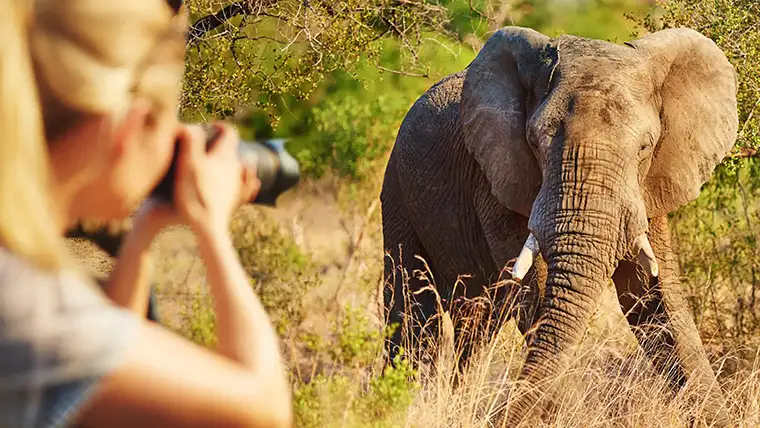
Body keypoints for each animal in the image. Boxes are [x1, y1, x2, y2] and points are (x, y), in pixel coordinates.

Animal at [380, 25, 738, 426]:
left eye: (645, 147)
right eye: (534, 142)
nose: (498, 417)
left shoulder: (650, 185)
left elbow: (652, 298)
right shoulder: (497, 177)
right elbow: (536, 294)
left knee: (475, 321)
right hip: (397, 190)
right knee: (412, 313)